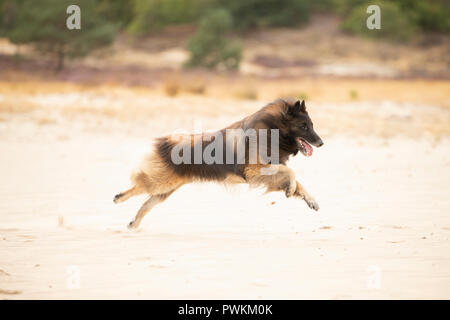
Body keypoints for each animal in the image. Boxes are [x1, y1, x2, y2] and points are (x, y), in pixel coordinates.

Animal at [114, 97, 322, 228]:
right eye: (304, 126)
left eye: (311, 125)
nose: (321, 143)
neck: (273, 129)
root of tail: (170, 142)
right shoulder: (256, 170)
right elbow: (292, 174)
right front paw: (291, 189)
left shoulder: (269, 171)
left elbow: (297, 181)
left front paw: (310, 200)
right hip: (161, 183)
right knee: (139, 185)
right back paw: (119, 198)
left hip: (165, 190)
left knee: (146, 203)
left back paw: (133, 224)